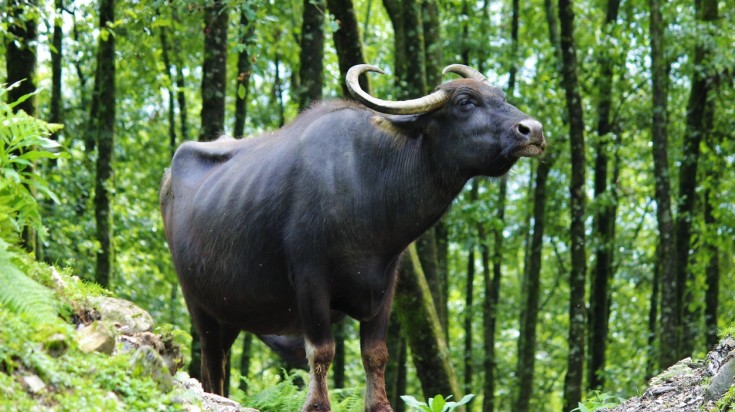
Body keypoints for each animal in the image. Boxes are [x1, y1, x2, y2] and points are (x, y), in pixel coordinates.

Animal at [161, 64, 544, 412]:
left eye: (501, 97)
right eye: (465, 101)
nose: (533, 130)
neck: (365, 186)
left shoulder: (386, 284)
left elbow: (376, 353)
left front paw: (379, 403)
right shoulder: (310, 280)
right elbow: (321, 351)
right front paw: (316, 404)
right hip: (200, 307)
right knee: (212, 366)